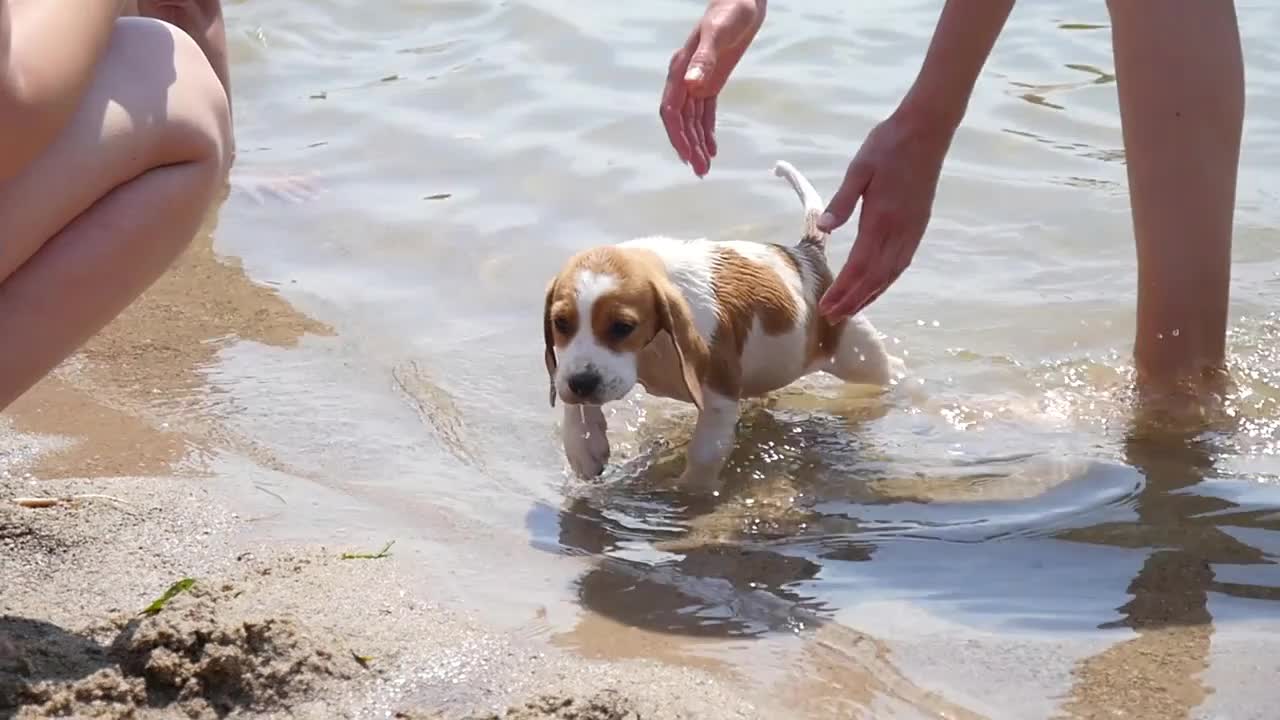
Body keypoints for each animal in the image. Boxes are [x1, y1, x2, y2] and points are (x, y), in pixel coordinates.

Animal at [545, 162, 906, 484]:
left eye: (623, 327)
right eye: (561, 323)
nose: (582, 383)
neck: (654, 347)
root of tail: (805, 256)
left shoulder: (718, 398)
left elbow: (703, 456)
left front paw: (690, 495)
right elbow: (571, 397)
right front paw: (584, 447)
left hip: (858, 355)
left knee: (889, 370)